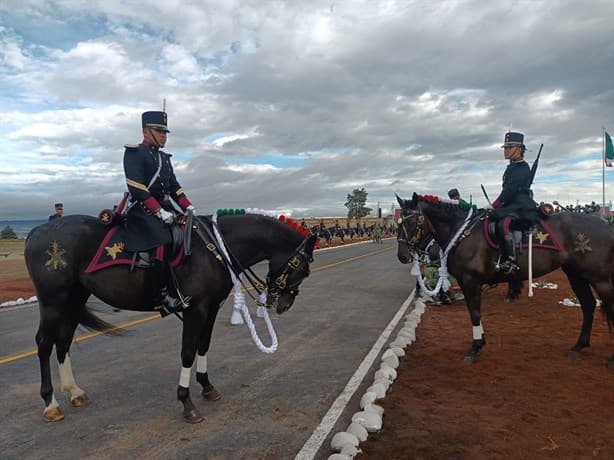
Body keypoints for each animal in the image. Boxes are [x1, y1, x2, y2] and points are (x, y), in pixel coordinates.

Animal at [24, 216, 318, 424]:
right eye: (303, 268)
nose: (284, 304)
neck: (214, 250)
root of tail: (37, 231)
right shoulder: (195, 310)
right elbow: (187, 352)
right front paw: (186, 402)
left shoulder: (211, 308)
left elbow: (203, 346)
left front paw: (207, 386)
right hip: (53, 300)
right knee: (44, 343)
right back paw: (50, 404)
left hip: (75, 298)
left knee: (63, 340)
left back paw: (75, 391)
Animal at [398, 194, 614, 366]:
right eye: (399, 222)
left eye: (411, 221)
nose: (402, 256)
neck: (462, 232)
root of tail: (605, 226)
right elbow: (475, 313)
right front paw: (480, 342)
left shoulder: (470, 281)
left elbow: (474, 313)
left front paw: (475, 347)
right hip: (576, 275)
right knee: (588, 305)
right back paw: (579, 346)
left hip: (600, 279)